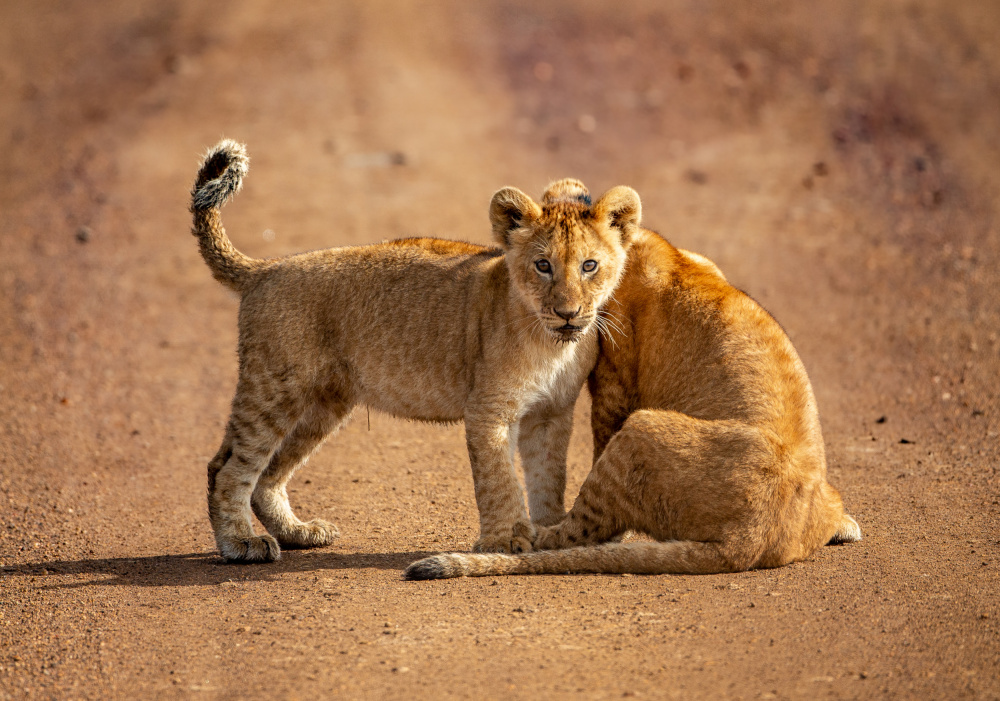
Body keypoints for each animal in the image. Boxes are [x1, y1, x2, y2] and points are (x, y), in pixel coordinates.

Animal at [189, 140, 640, 562]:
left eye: (589, 266)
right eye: (543, 266)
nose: (568, 313)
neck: (552, 346)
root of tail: (265, 269)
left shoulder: (553, 412)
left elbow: (549, 476)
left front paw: (551, 533)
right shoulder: (489, 408)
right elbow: (499, 479)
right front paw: (506, 540)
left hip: (325, 402)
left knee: (261, 471)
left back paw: (296, 532)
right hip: (275, 389)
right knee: (228, 467)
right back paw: (242, 543)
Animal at [406, 223, 861, 579]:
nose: (566, 312)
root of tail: (749, 539)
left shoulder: (613, 382)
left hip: (643, 426)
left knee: (580, 531)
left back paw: (527, 535)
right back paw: (845, 526)